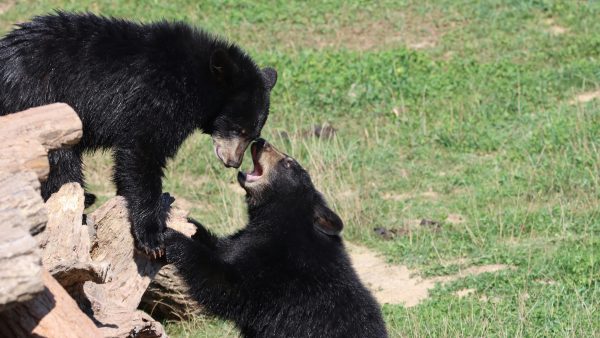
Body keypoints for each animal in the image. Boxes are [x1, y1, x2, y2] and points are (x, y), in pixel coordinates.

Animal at [0, 11, 276, 258]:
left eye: (253, 134)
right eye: (239, 129)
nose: (233, 162)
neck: (194, 79)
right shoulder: (158, 98)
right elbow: (143, 151)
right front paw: (151, 236)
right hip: (39, 104)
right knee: (61, 162)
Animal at [165, 139, 390, 338]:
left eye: (288, 162)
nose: (260, 141)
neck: (281, 220)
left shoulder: (277, 270)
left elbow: (226, 285)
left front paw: (173, 239)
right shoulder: (248, 240)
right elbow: (223, 247)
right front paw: (179, 219)